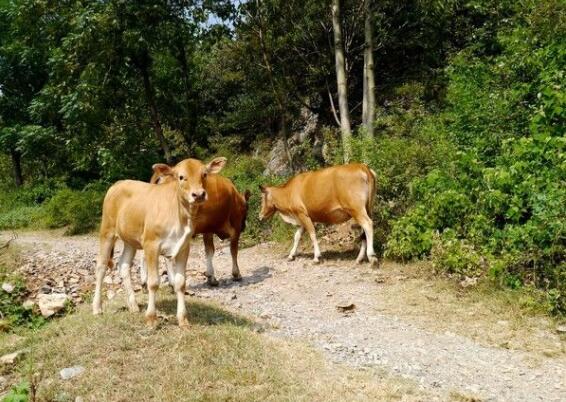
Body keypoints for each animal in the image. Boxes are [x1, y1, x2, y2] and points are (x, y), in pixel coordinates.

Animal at [92, 155, 227, 328]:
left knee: (124, 265)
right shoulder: (151, 245)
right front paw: (151, 318)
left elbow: (180, 283)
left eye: (204, 174)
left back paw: (133, 305)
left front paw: (183, 319)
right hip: (107, 231)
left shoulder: (184, 247)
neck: (179, 217)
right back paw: (97, 308)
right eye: (181, 177)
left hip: (130, 239)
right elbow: (153, 282)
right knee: (101, 267)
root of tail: (119, 183)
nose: (198, 194)